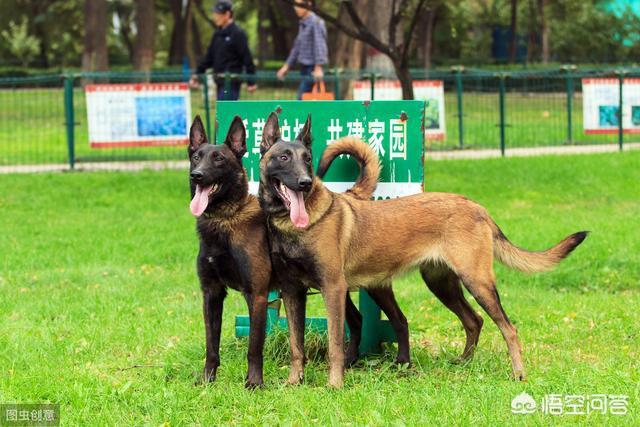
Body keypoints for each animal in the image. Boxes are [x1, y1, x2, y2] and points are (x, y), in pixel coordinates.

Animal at [258, 112, 588, 390]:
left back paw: (518, 373)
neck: (293, 225)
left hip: (477, 282)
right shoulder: (293, 293)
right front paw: (294, 382)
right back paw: (462, 363)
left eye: (308, 159)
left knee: (508, 328)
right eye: (284, 157)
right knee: (473, 320)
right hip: (441, 284)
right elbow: (296, 345)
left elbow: (335, 344)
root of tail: (477, 207)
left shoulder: (333, 289)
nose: (305, 182)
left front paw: (334, 385)